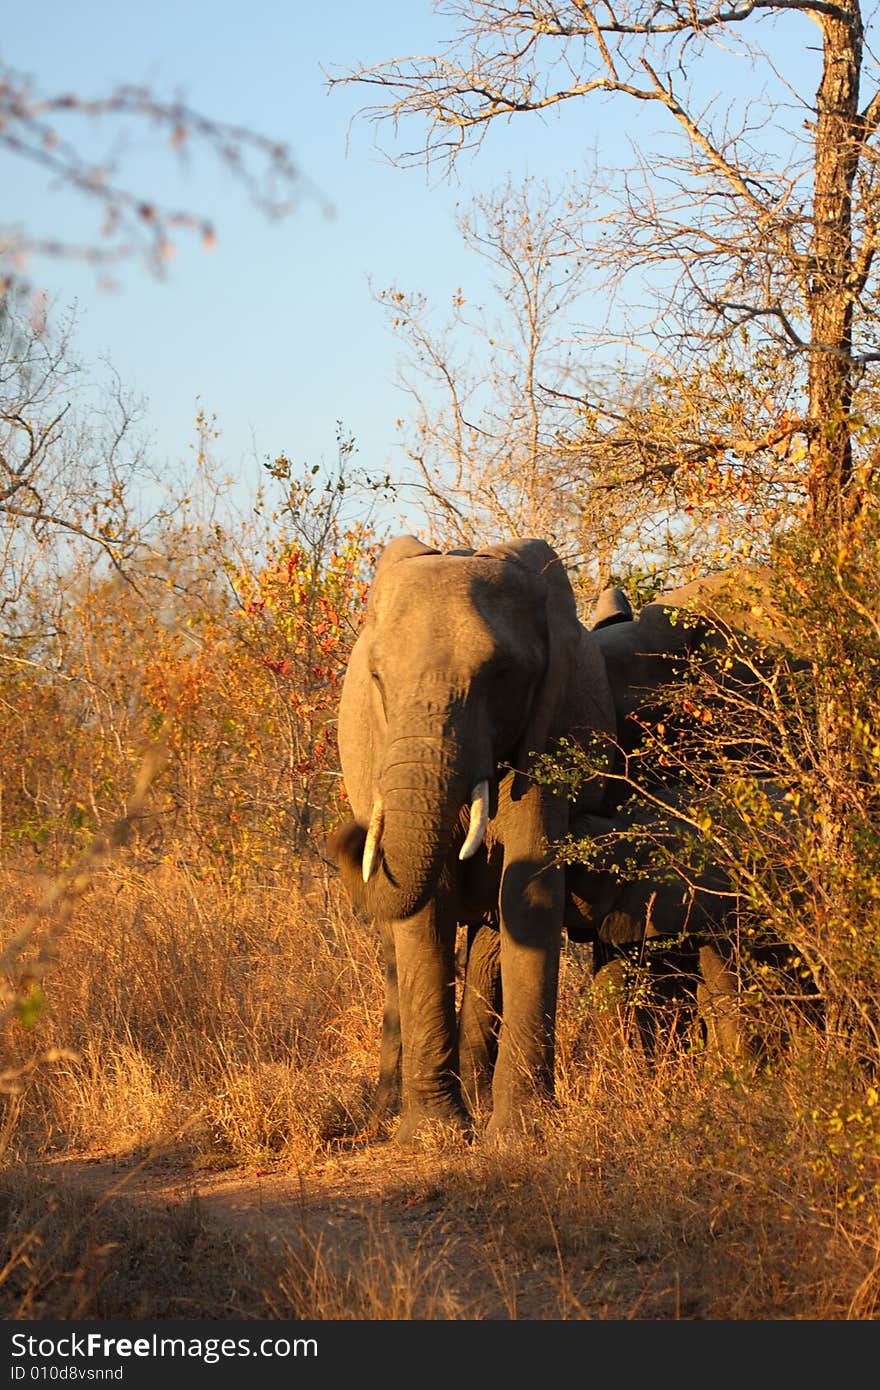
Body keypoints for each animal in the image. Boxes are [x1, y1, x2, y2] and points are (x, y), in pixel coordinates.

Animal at [326, 530, 614, 1139]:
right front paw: (431, 1137)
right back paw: (385, 1114)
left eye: (501, 675)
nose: (352, 833)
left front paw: (518, 1135)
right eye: (378, 678)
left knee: (488, 939)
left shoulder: (549, 732)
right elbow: (426, 909)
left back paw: (481, 1104)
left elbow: (528, 889)